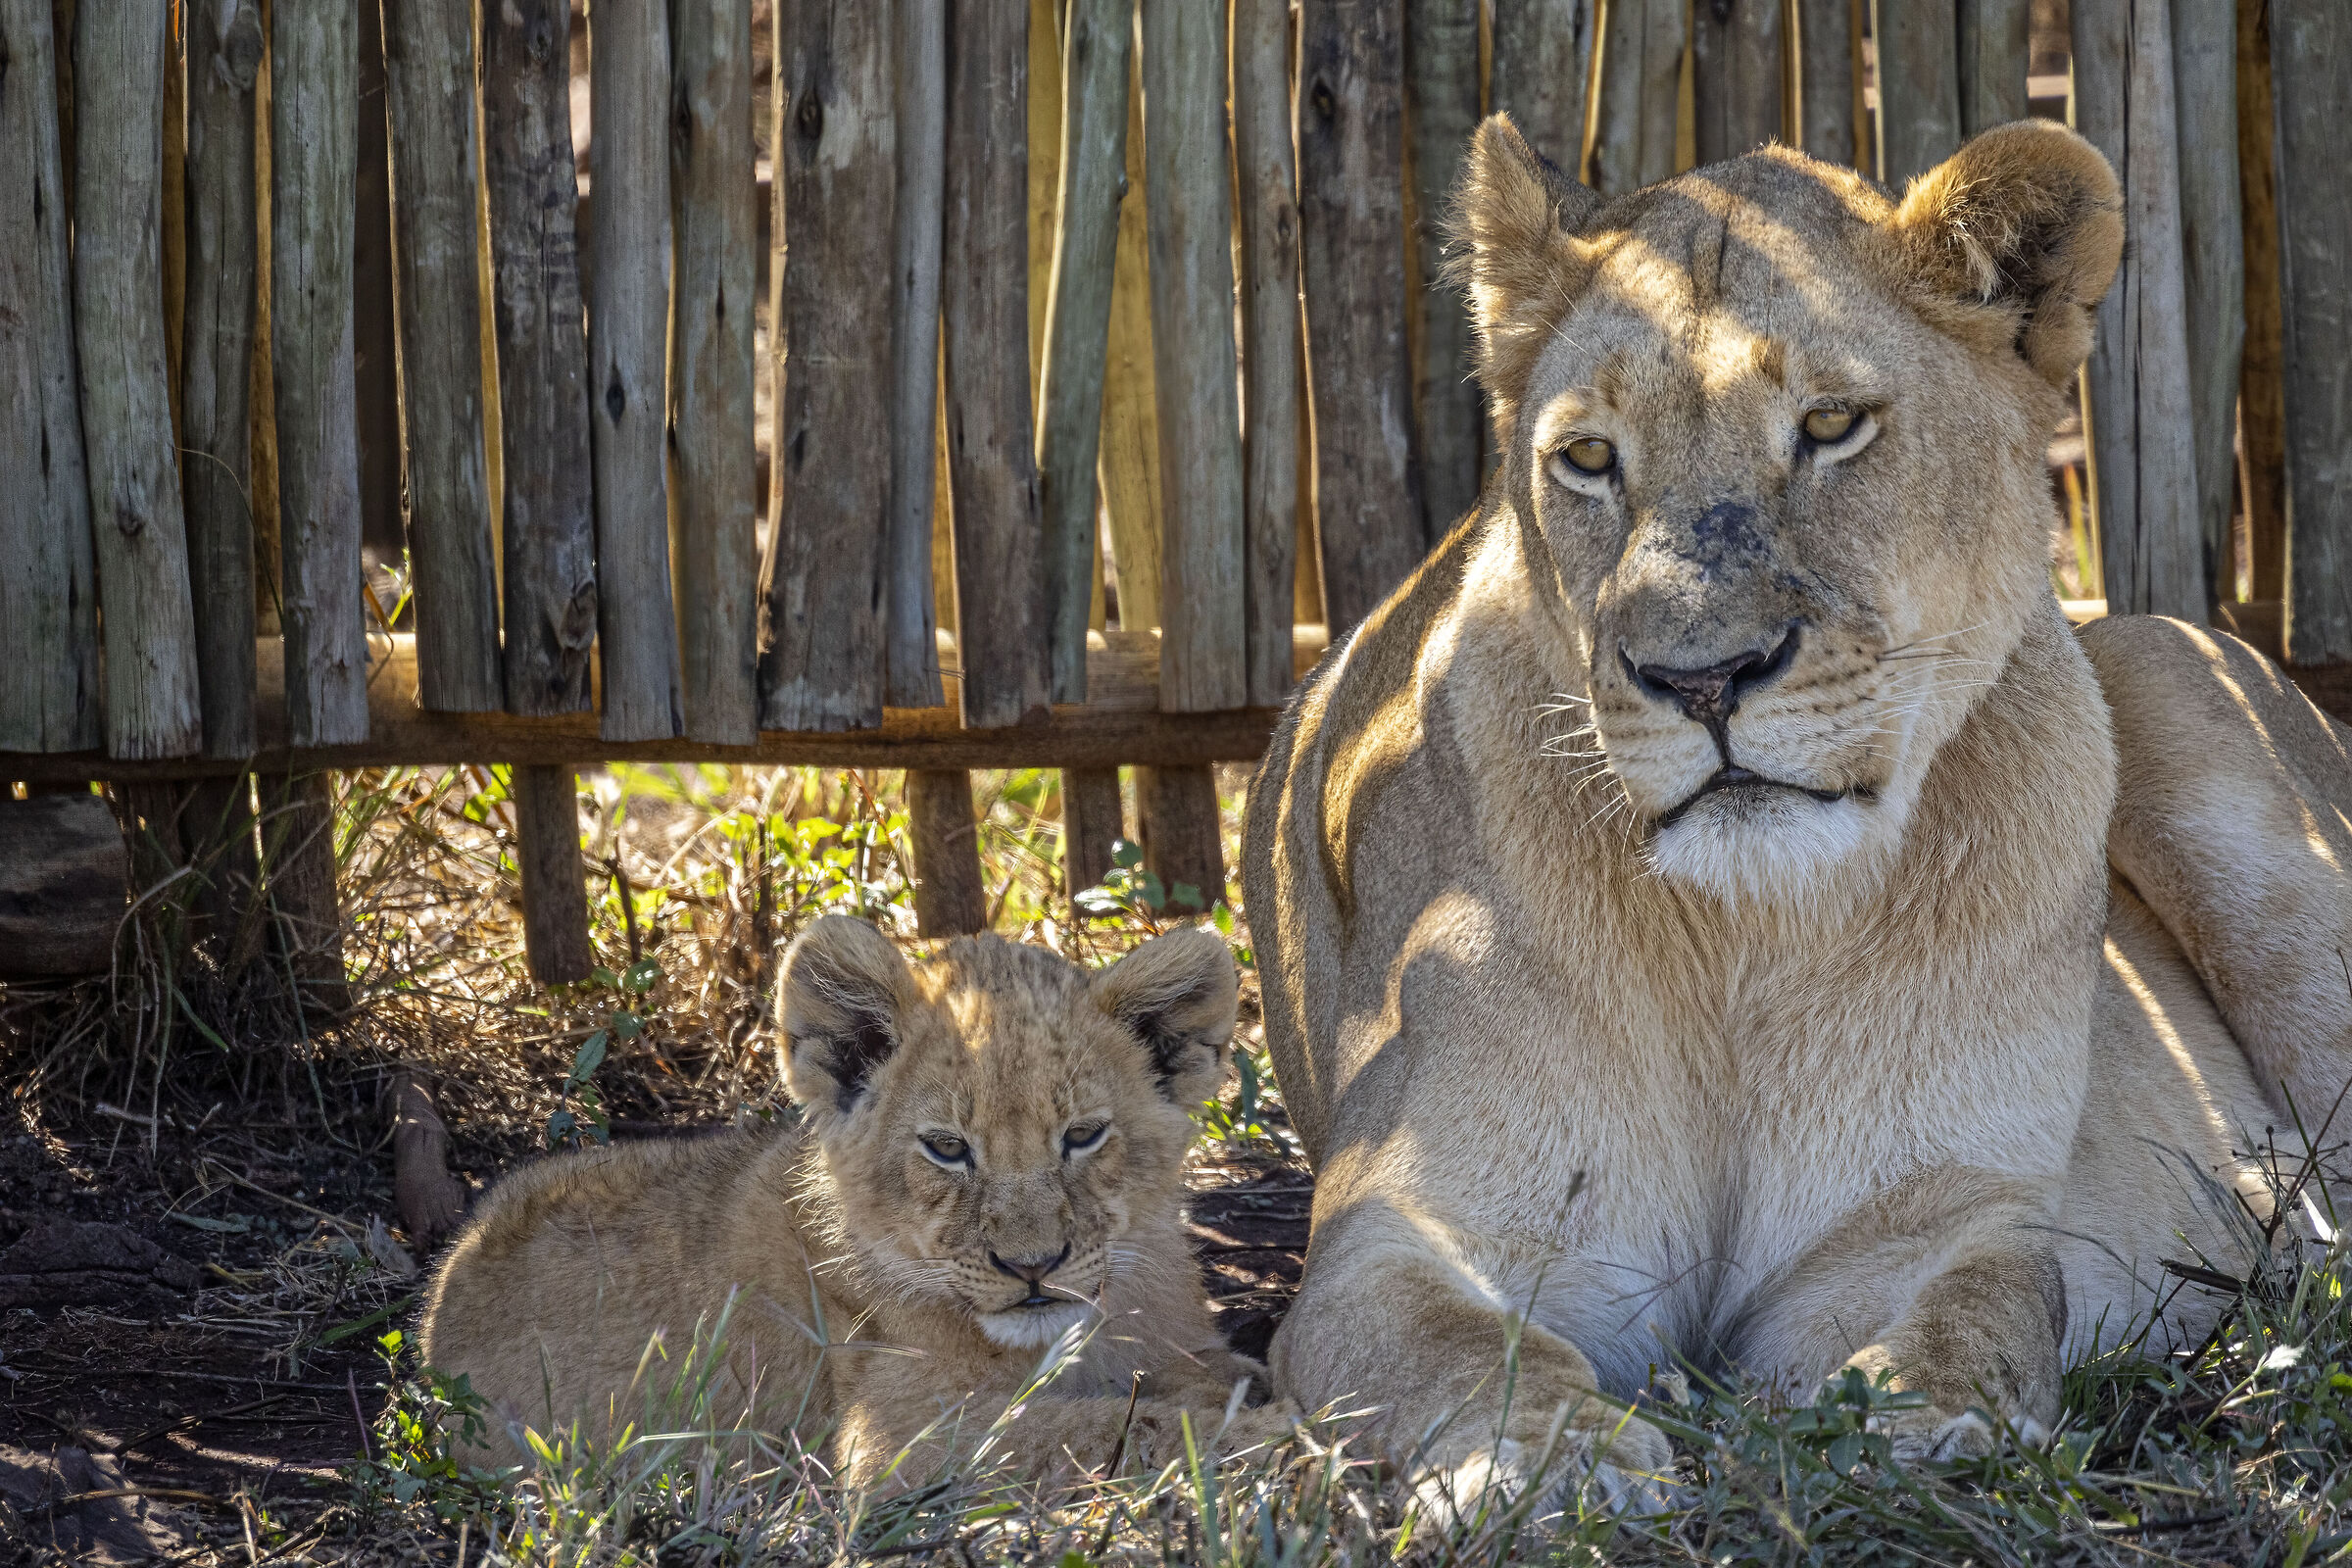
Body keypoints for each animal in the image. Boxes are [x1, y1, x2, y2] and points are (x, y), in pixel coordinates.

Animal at [416, 918, 1290, 1486]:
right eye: (946, 1148)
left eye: (1082, 1136)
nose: (1032, 1267)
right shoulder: (900, 1442)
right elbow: (1112, 1429)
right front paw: (1283, 1440)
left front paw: (1243, 1387)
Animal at [1245, 115, 2347, 1517]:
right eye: (1589, 458)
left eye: (1830, 425)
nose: (1704, 677)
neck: (1747, 942)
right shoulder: (1410, 1221)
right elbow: (1457, 1344)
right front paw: (1549, 1458)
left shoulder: (1931, 1217)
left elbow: (1975, 1316)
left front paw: (1924, 1427)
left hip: (2172, 676)